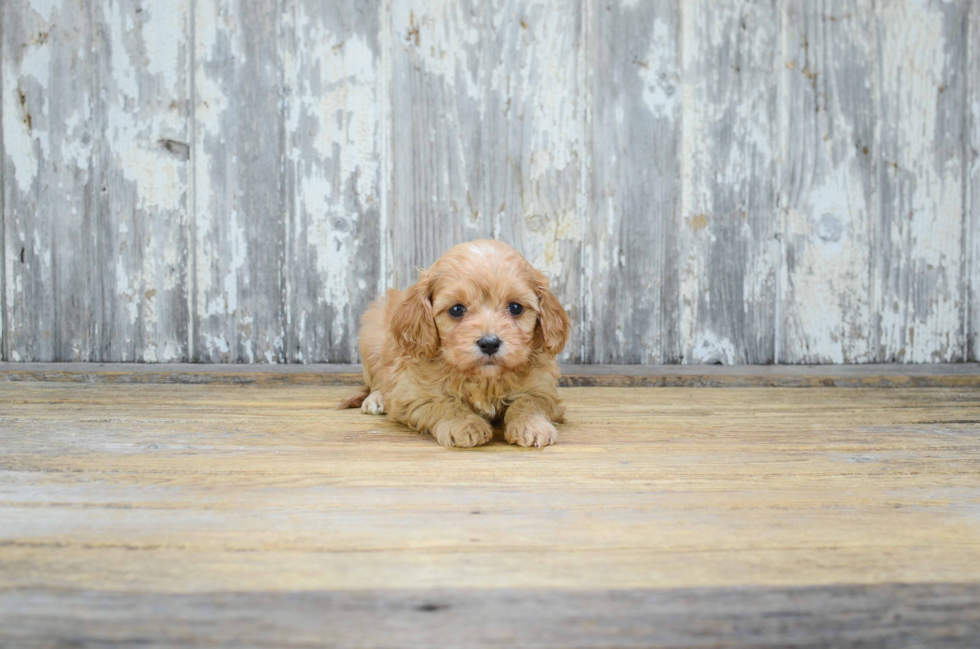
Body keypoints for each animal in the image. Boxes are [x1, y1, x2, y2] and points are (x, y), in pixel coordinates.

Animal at [336, 240, 572, 448]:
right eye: (457, 310)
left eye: (515, 307)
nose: (489, 343)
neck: (484, 379)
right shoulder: (414, 396)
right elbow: (446, 404)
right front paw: (466, 426)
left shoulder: (543, 389)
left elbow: (528, 402)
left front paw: (531, 426)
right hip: (371, 336)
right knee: (376, 382)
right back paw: (376, 399)